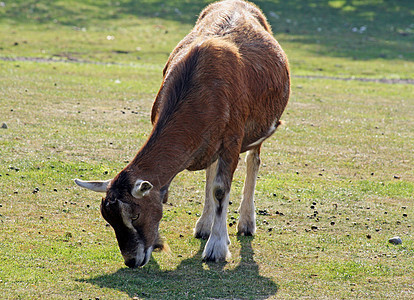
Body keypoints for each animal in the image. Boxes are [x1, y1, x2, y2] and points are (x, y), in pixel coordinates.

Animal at [76, 0, 290, 268]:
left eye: (135, 215)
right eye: (108, 218)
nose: (132, 260)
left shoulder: (233, 137)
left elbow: (221, 189)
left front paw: (217, 248)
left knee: (254, 160)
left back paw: (246, 223)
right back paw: (203, 226)